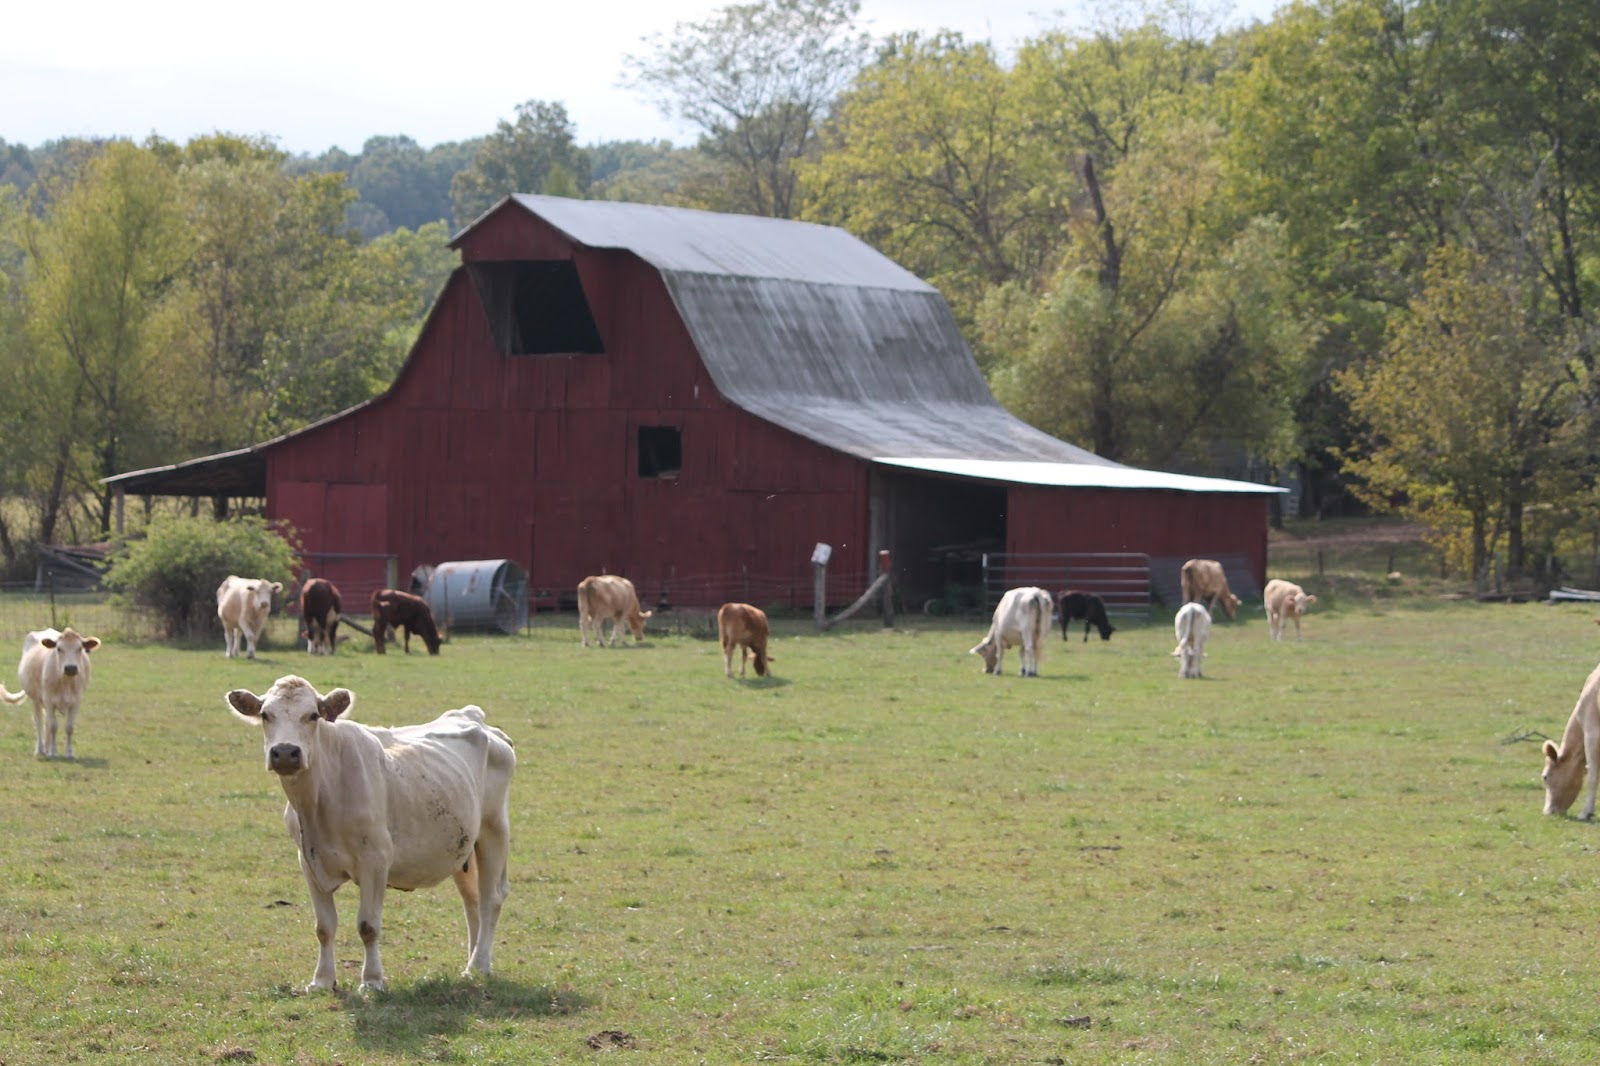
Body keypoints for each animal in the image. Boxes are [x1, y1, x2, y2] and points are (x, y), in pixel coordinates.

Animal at [0, 627, 101, 759]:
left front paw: (69, 753)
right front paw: (53, 752)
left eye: (80, 648)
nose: (71, 668)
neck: (65, 682)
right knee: (39, 721)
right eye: (59, 648)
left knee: (47, 722)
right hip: (36, 700)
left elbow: (69, 727)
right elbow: (53, 726)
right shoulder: (48, 700)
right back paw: (41, 749)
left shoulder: (76, 702)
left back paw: (47, 749)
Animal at [226, 675, 516, 992]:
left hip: (494, 829)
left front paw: (372, 980)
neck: (319, 799)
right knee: (472, 900)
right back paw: (474, 961)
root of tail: (475, 717)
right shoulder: (308, 861)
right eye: (266, 714)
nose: (286, 753)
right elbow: (324, 926)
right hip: (462, 846)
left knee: (490, 899)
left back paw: (479, 964)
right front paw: (322, 980)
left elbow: (368, 925)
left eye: (313, 715)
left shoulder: (376, 859)